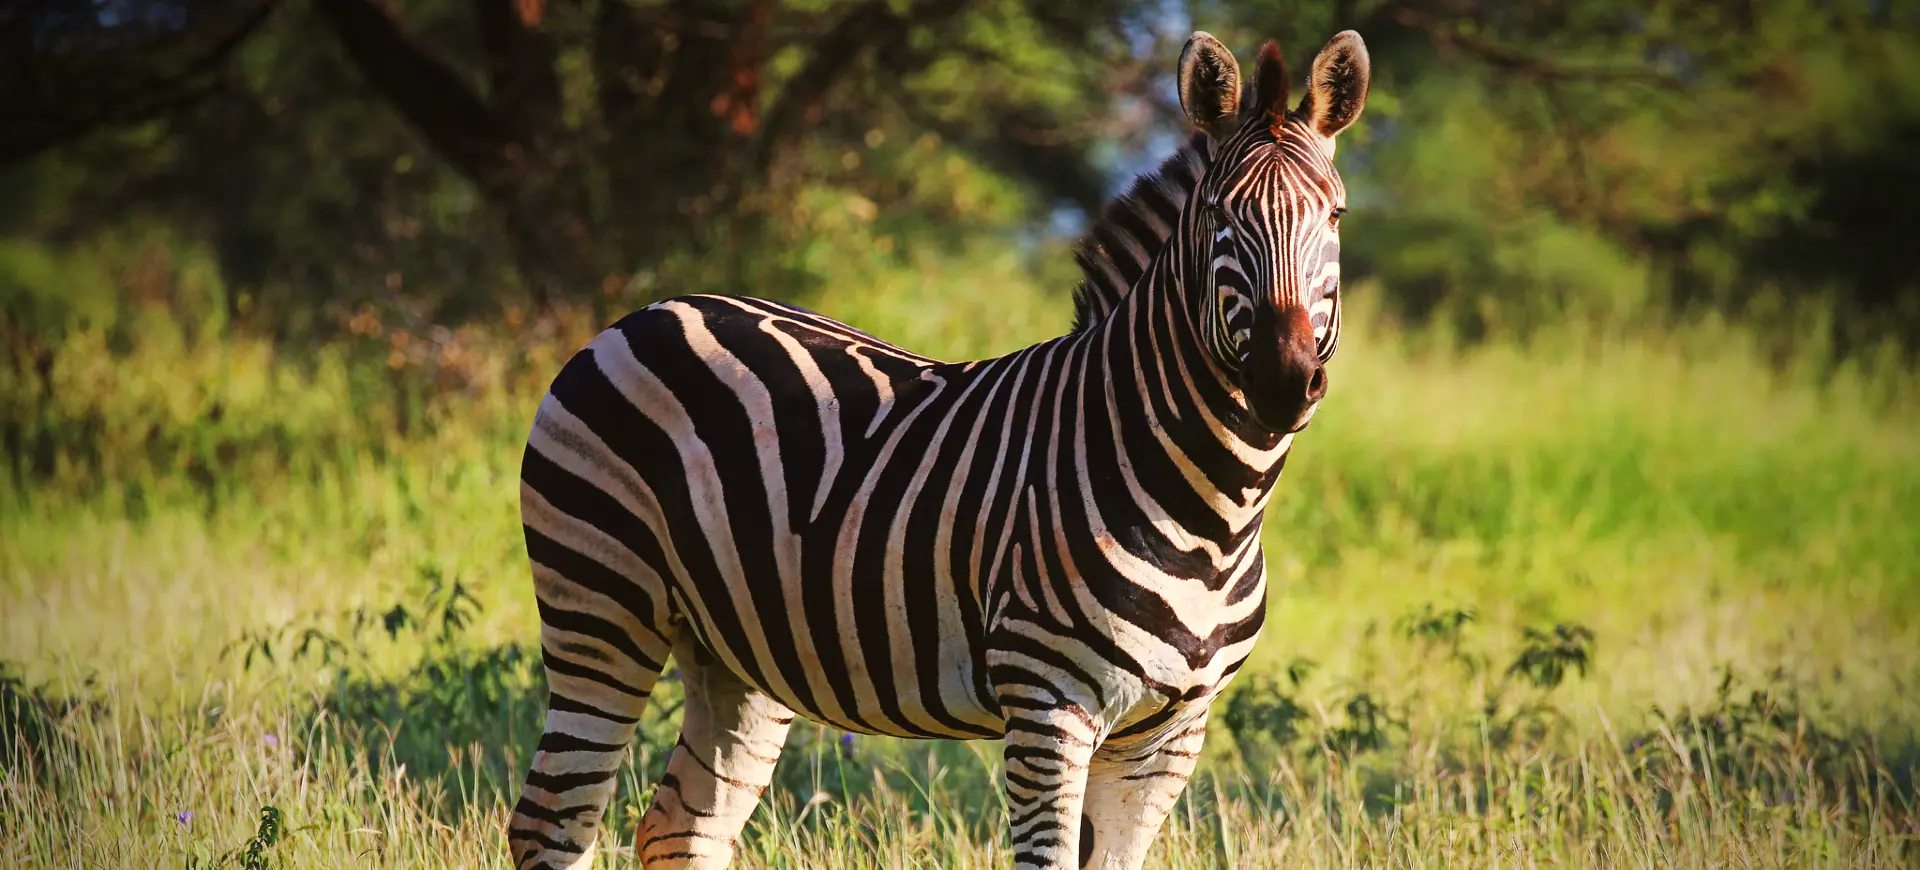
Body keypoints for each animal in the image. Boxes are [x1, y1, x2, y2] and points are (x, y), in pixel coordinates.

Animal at [510, 28, 1374, 868]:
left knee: (682, 830)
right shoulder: (1047, 703)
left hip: (734, 648)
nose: (1284, 380)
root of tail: (648, 311)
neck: (1214, 510)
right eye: (1221, 218)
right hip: (601, 602)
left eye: (1334, 218)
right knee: (553, 823)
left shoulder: (1169, 735)